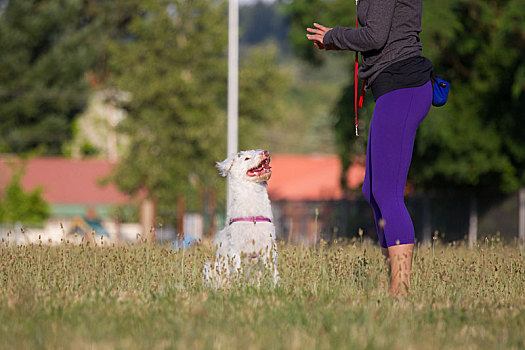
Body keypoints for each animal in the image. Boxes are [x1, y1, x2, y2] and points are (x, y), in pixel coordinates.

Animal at [204, 149, 278, 286]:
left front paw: (276, 286)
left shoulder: (269, 246)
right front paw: (239, 287)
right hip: (209, 267)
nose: (265, 152)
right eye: (246, 158)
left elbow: (273, 271)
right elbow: (238, 270)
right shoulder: (236, 248)